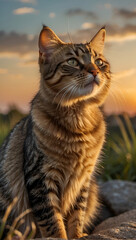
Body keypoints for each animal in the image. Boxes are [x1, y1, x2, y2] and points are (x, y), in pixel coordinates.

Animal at [0, 25, 110, 239]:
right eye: (72, 61)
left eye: (99, 62)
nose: (94, 71)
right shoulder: (40, 176)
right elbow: (52, 219)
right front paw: (60, 236)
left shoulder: (83, 180)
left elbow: (77, 214)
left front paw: (77, 235)